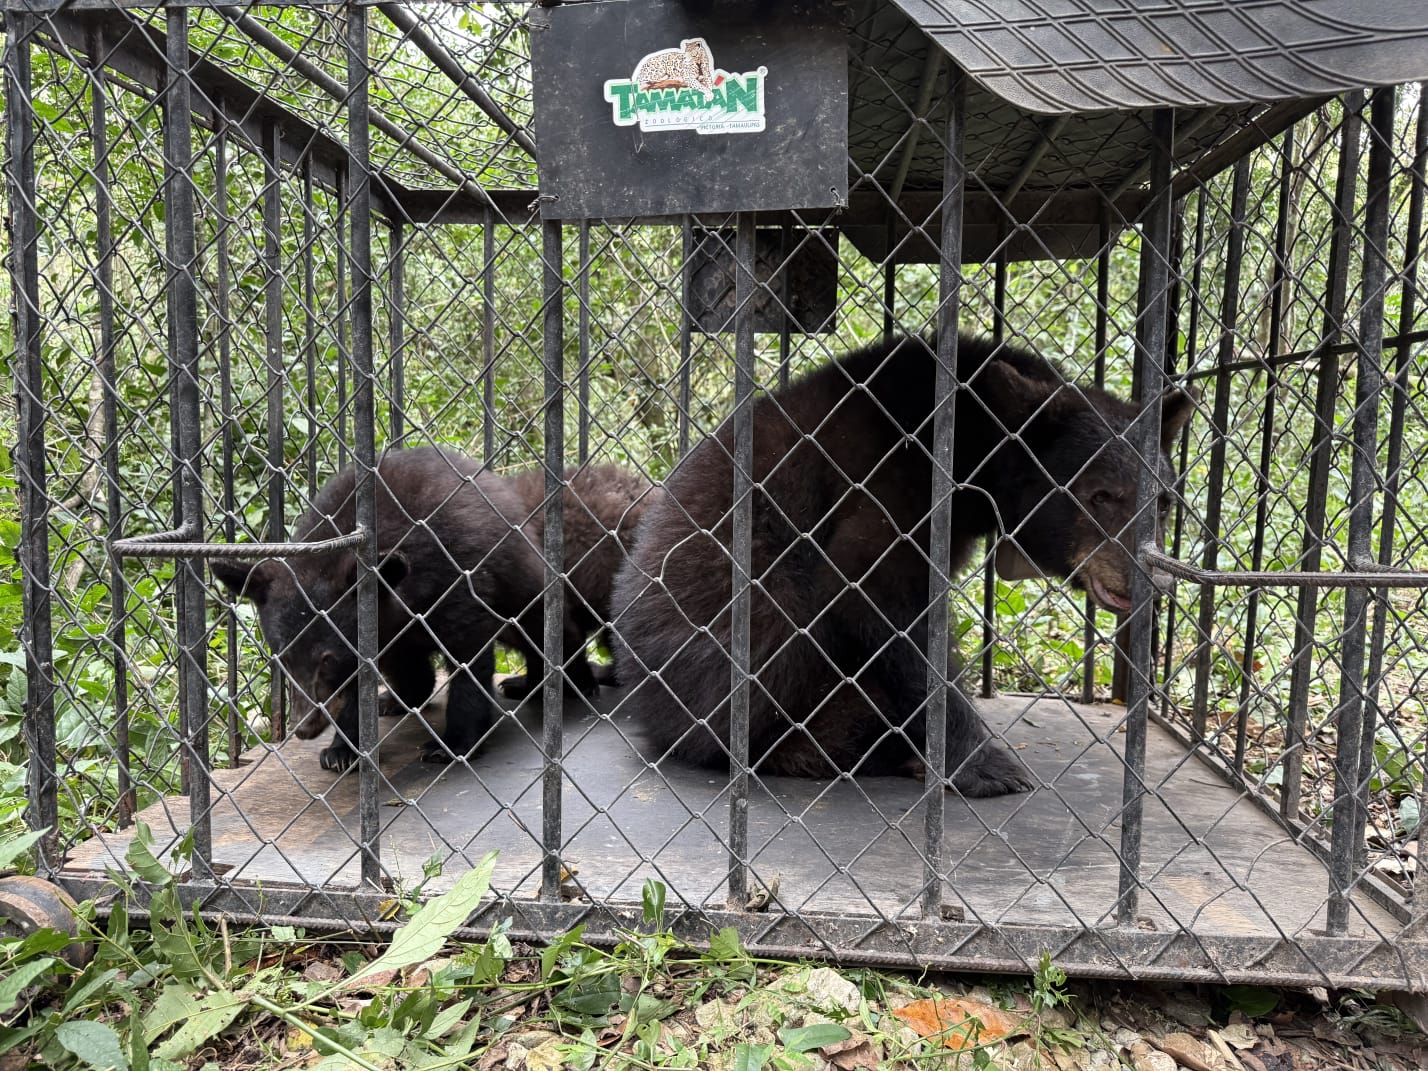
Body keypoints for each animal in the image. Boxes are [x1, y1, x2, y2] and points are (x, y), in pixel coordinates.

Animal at [212, 446, 545, 772]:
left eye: (327, 659)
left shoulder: (458, 578)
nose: (304, 727)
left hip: (525, 591)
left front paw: (453, 744)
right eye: (284, 658)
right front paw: (343, 750)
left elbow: (468, 658)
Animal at [610, 333, 1193, 797]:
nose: (1156, 580)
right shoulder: (890, 482)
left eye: (1165, 502)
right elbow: (872, 592)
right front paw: (985, 765)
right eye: (1100, 495)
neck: (971, 442)